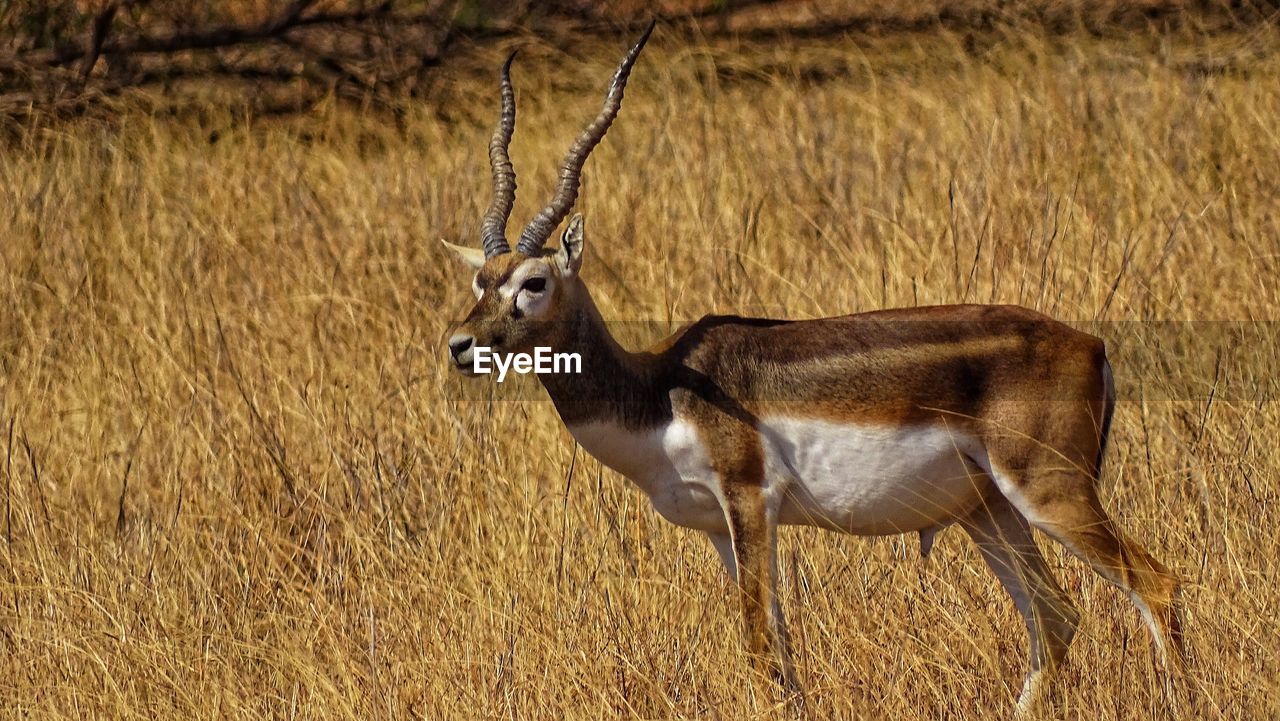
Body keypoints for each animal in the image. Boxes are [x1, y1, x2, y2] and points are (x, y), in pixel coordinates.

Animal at [442, 22, 1187, 717]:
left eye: (534, 282)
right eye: (482, 278)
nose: (460, 344)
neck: (659, 393)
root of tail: (1091, 344)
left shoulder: (751, 499)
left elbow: (761, 642)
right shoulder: (720, 527)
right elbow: (776, 646)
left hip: (1049, 490)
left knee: (1156, 585)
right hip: (989, 509)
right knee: (1055, 617)